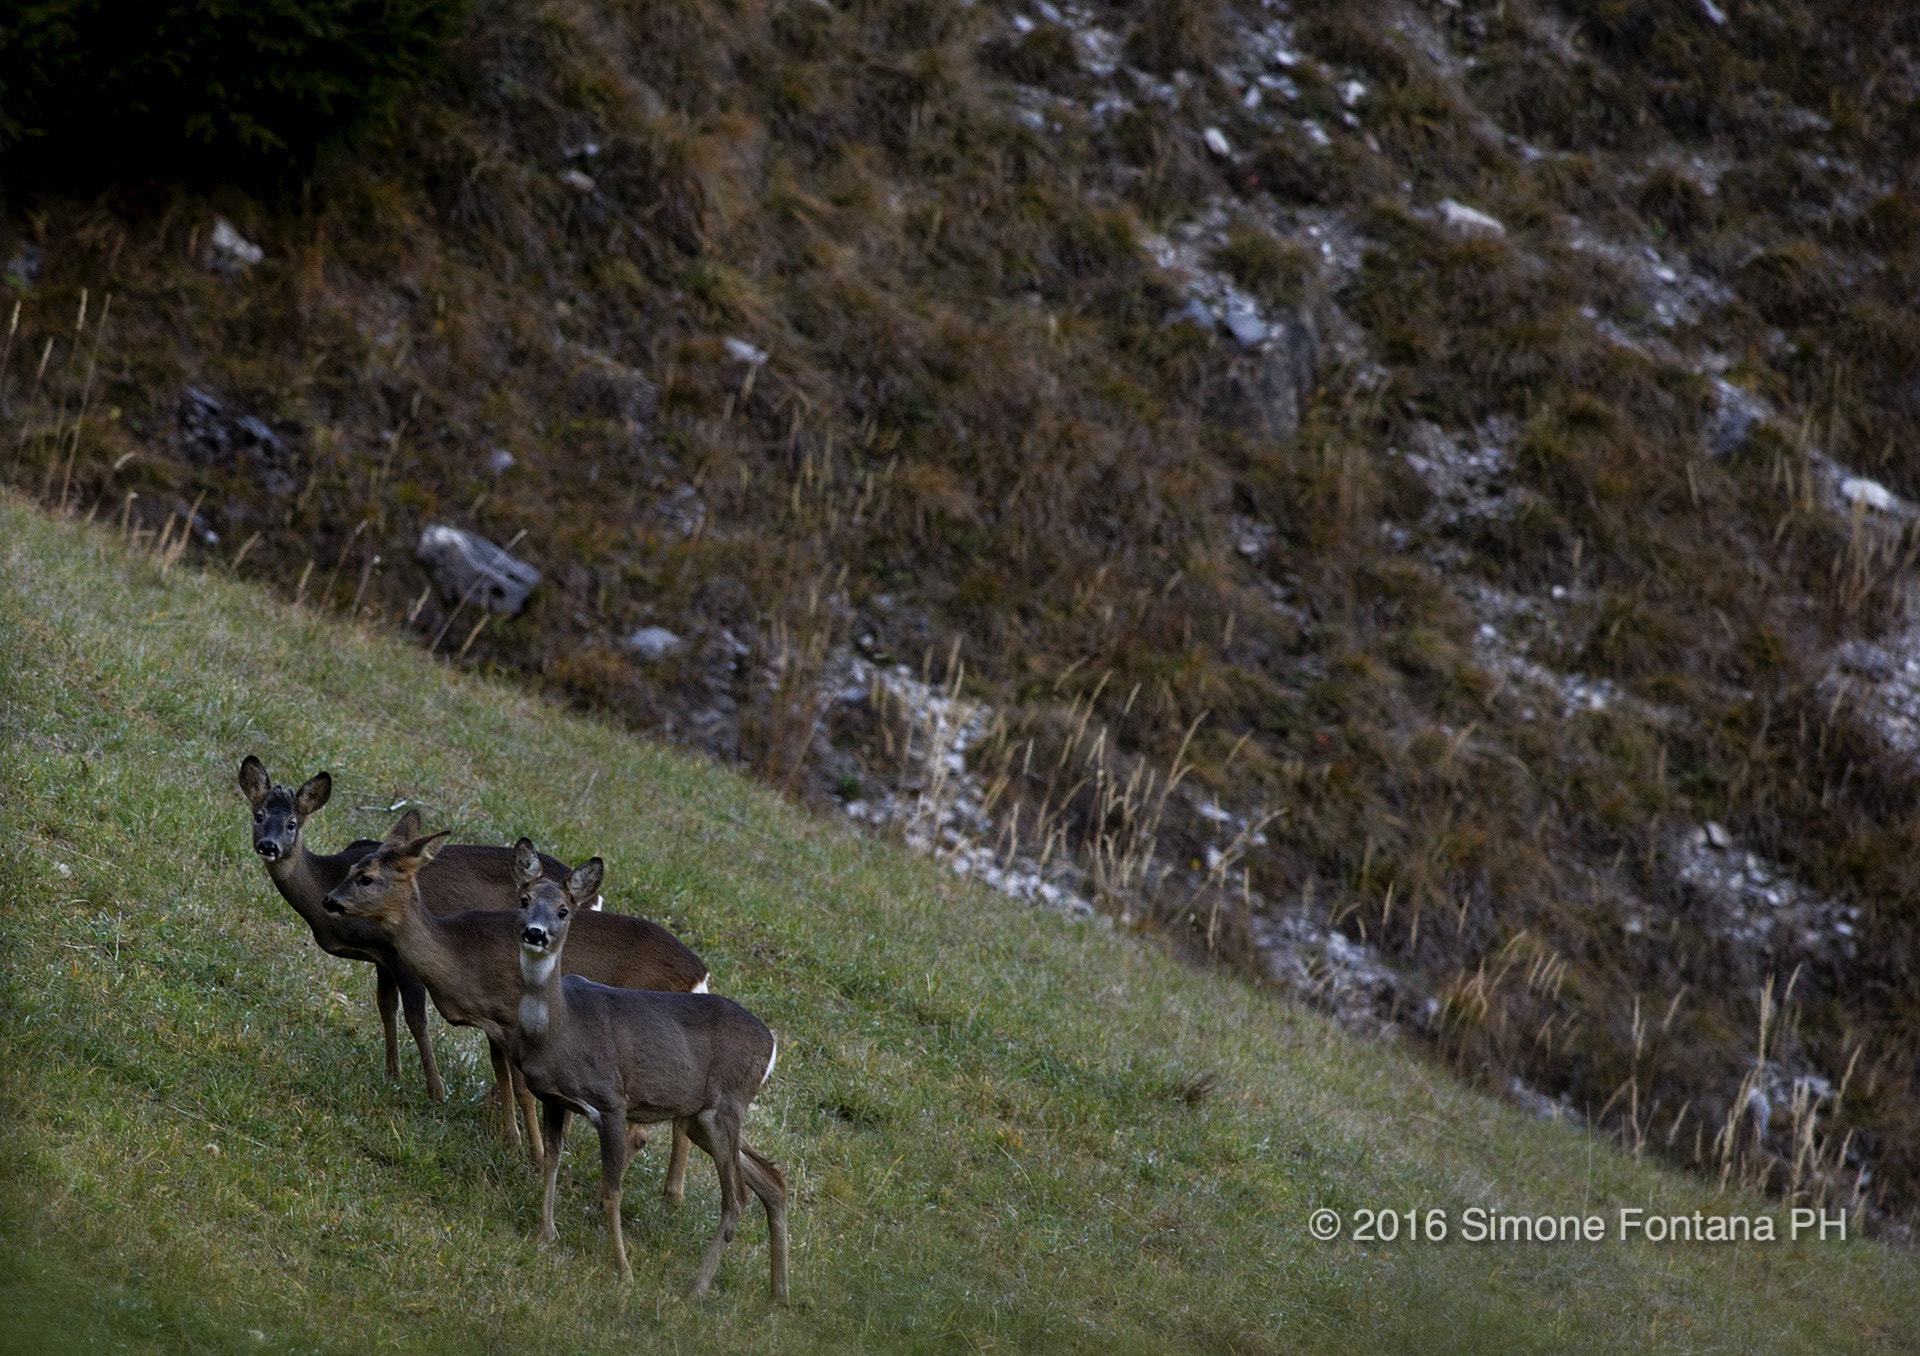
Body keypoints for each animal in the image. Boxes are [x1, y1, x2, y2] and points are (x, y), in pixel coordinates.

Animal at [322, 806, 714, 1190]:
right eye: (351, 867)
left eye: (367, 877)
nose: (329, 900)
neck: (460, 953)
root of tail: (700, 975)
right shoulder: (494, 1024)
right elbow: (502, 1074)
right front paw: (511, 1141)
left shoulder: (513, 1018)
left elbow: (523, 1087)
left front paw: (535, 1155)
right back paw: (670, 1194)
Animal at [506, 833, 791, 1298]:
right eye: (524, 899)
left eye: (564, 910)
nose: (536, 933)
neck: (560, 1029)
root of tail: (772, 1046)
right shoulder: (554, 1098)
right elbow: (551, 1161)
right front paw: (544, 1235)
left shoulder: (612, 1101)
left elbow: (612, 1190)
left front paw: (623, 1271)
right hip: (699, 1116)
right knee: (772, 1180)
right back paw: (777, 1297)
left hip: (726, 1106)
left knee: (736, 1199)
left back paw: (696, 1289)